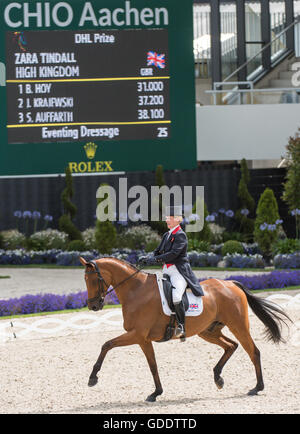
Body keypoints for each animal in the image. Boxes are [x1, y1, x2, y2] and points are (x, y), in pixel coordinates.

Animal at [79, 256, 290, 402]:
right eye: (85, 280)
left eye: (94, 280)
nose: (93, 306)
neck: (136, 290)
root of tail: (230, 283)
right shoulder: (143, 339)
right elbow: (152, 365)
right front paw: (156, 393)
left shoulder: (137, 335)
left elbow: (107, 345)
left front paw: (92, 378)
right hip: (208, 331)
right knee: (231, 346)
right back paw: (218, 378)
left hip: (238, 325)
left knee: (253, 351)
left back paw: (257, 387)